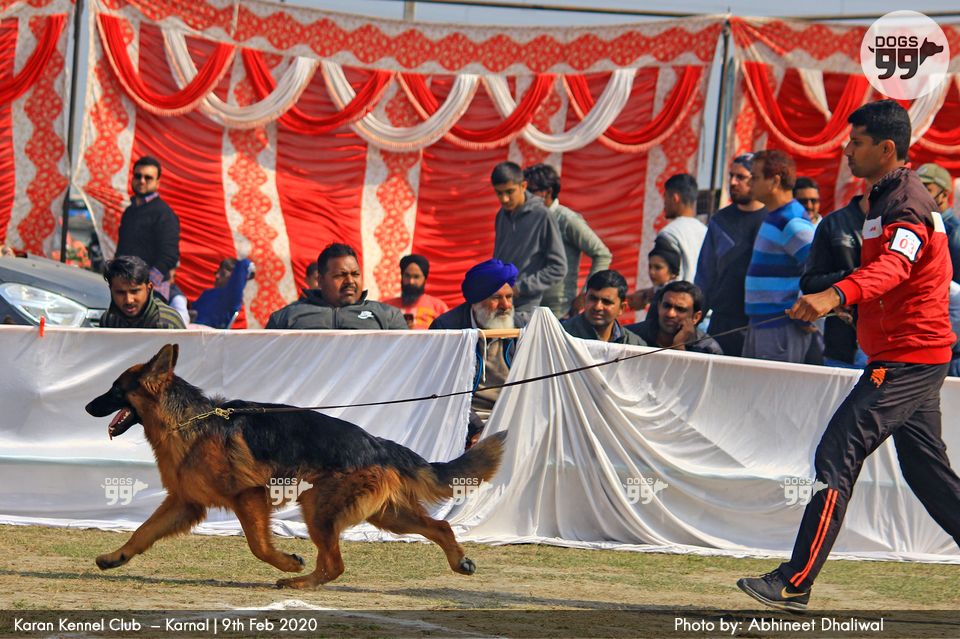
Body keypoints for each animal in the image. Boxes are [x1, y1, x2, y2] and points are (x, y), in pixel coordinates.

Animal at [85, 344, 506, 588]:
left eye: (115, 388)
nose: (87, 406)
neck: (189, 420)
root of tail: (376, 443)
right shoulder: (184, 503)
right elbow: (142, 532)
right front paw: (114, 557)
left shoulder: (248, 496)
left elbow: (258, 546)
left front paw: (287, 563)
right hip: (386, 515)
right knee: (441, 526)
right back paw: (459, 561)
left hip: (317, 508)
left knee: (335, 564)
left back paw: (299, 583)